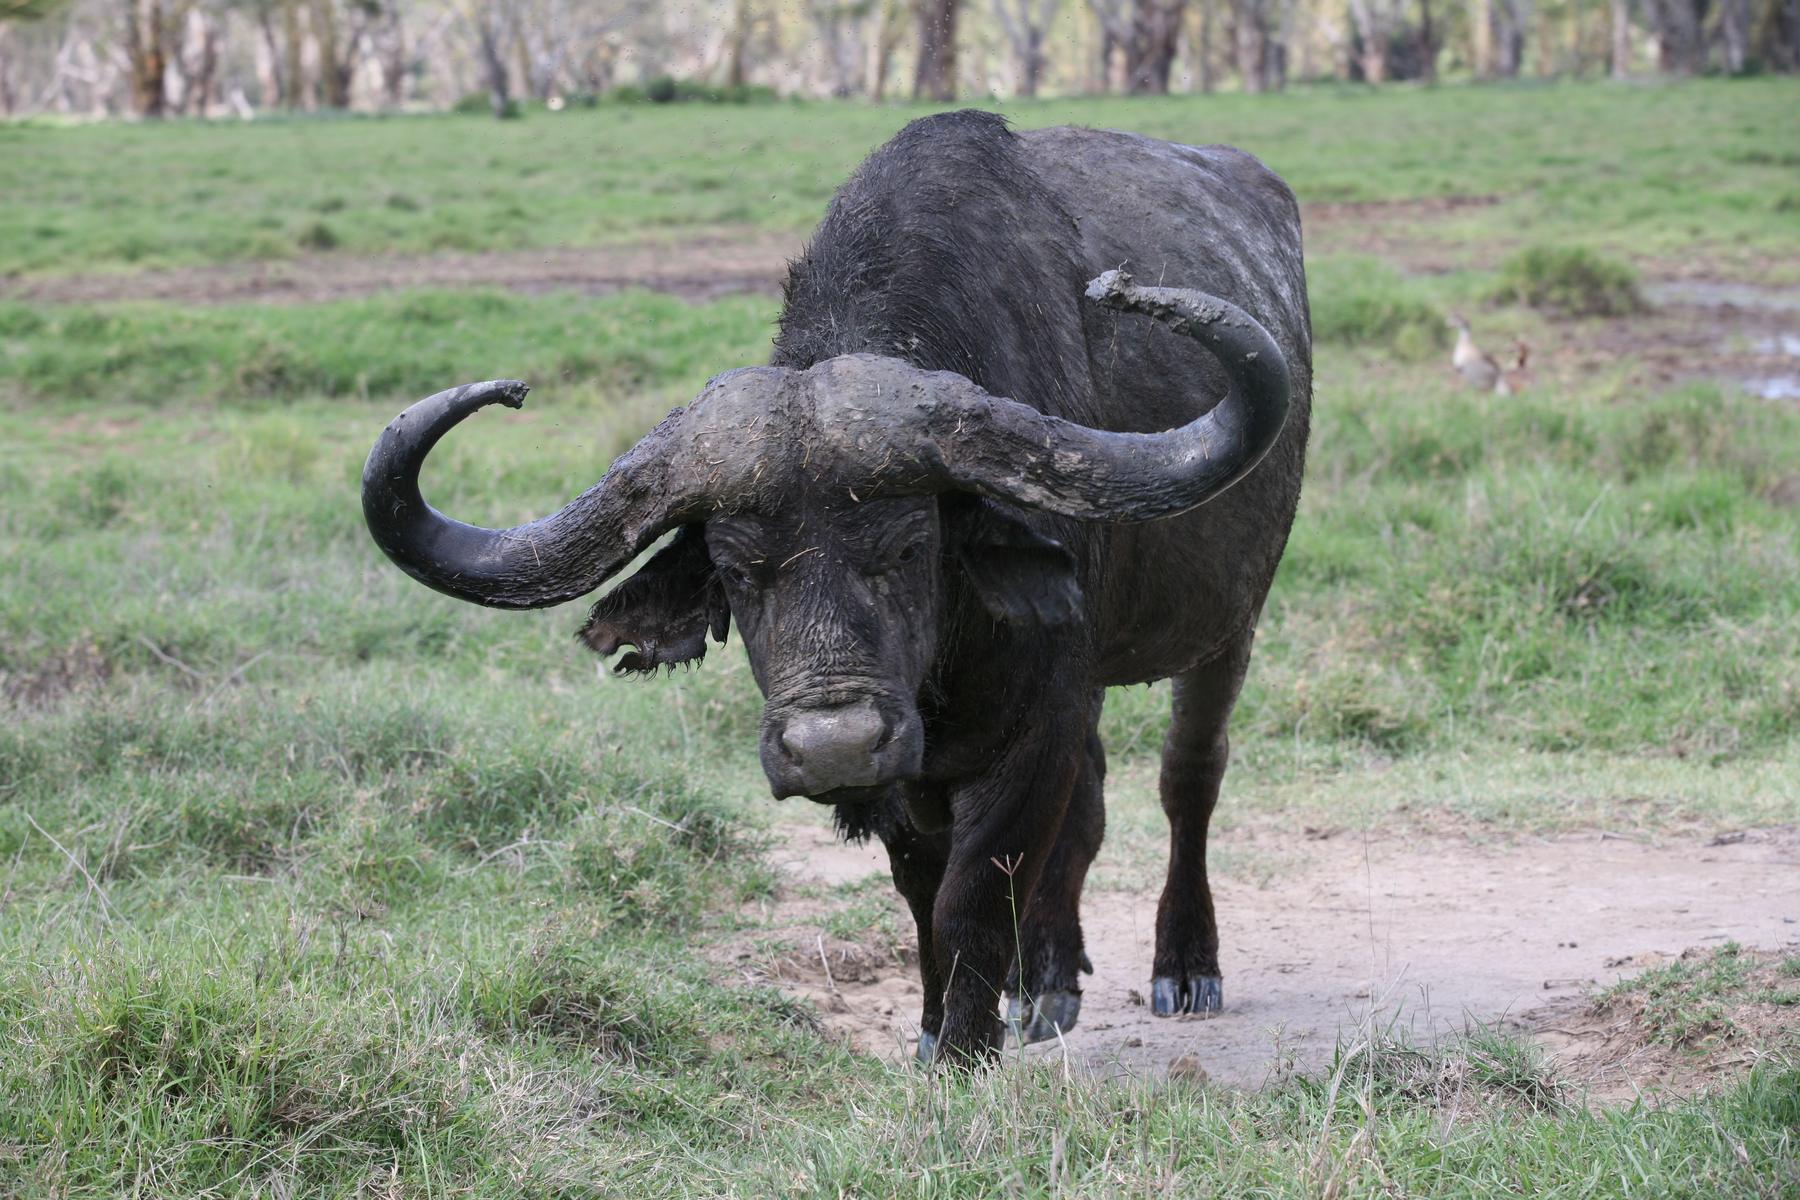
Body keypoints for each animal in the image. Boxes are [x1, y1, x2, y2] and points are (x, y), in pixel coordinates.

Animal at [362, 110, 1311, 1065]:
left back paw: (1183, 964)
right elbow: (925, 899)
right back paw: (1046, 983)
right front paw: (934, 1031)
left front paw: (963, 1055)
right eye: (737, 569)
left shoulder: (1035, 724)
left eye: (910, 547)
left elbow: (975, 895)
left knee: (1188, 776)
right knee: (1091, 804)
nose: (834, 747)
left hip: (1230, 624)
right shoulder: (917, 772)